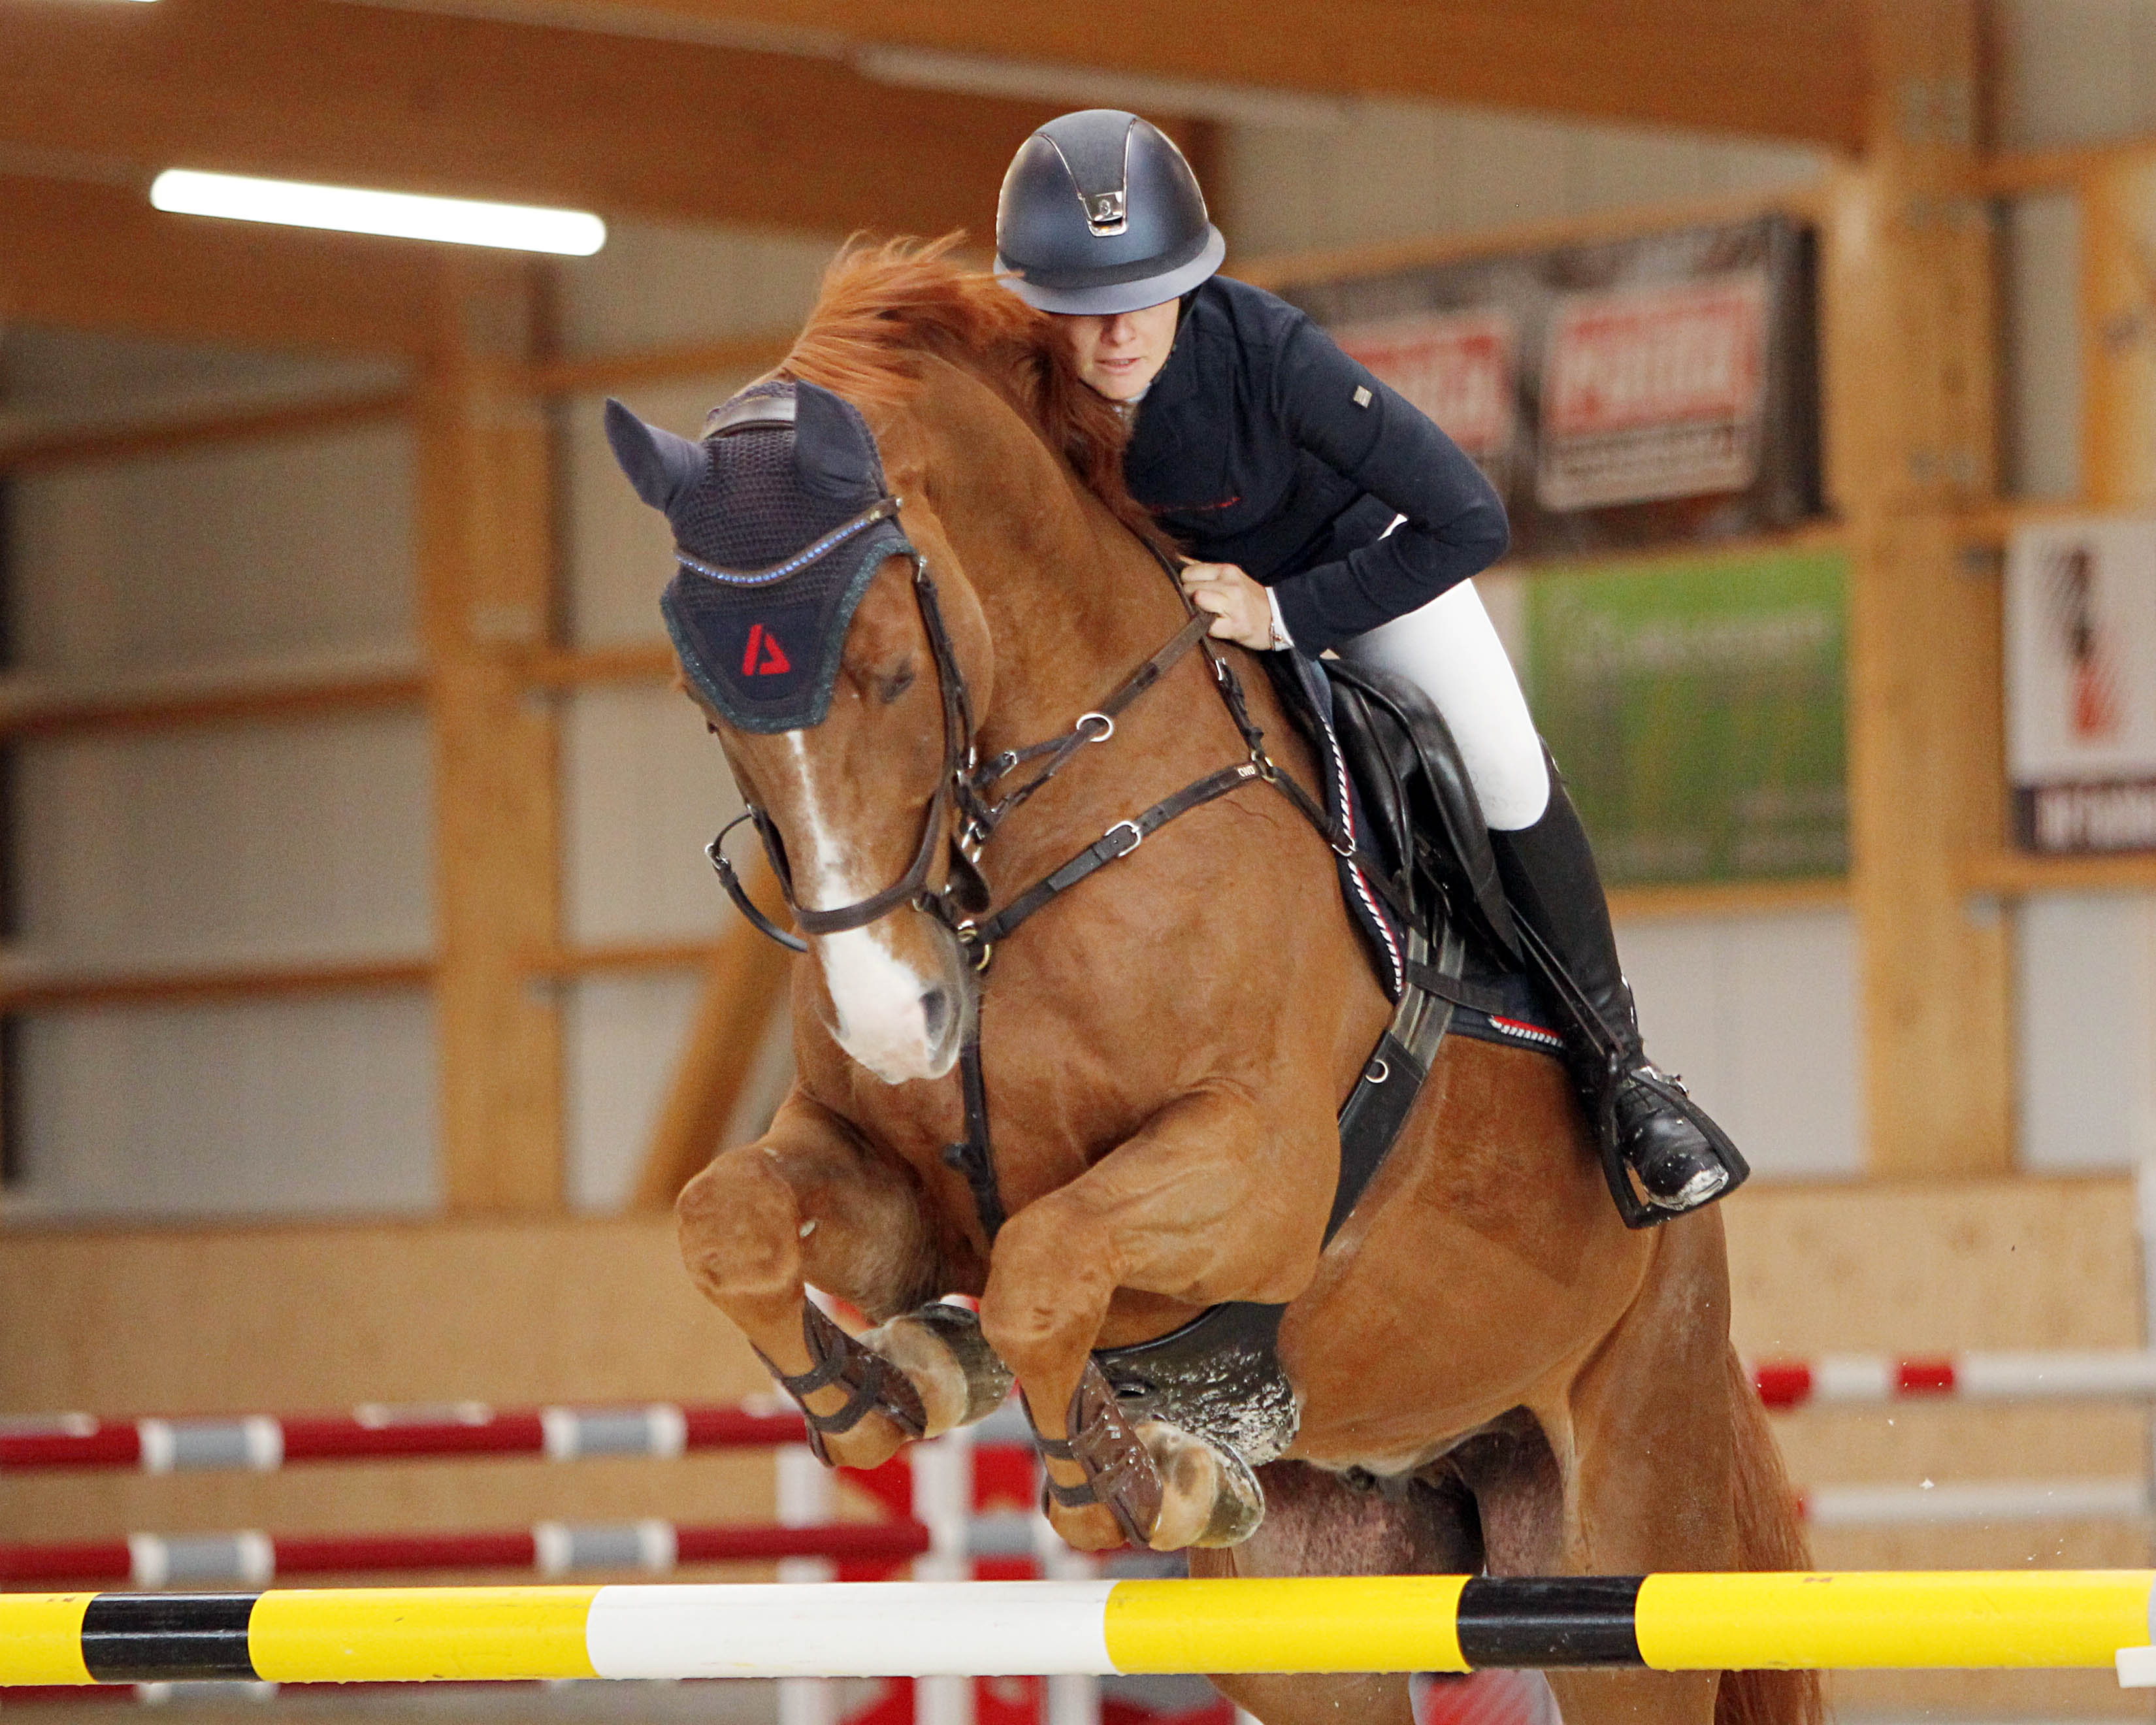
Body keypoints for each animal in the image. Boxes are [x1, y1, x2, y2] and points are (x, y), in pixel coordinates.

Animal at [629, 246, 1811, 1725]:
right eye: (708, 702)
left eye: (890, 674)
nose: (899, 1021)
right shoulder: (895, 1180)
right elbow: (727, 1219)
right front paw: (880, 1390)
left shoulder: (1259, 1172)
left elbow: (1044, 1267)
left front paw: (1127, 1471)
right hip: (1318, 1609)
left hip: (1627, 1558)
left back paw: (1656, 1132)